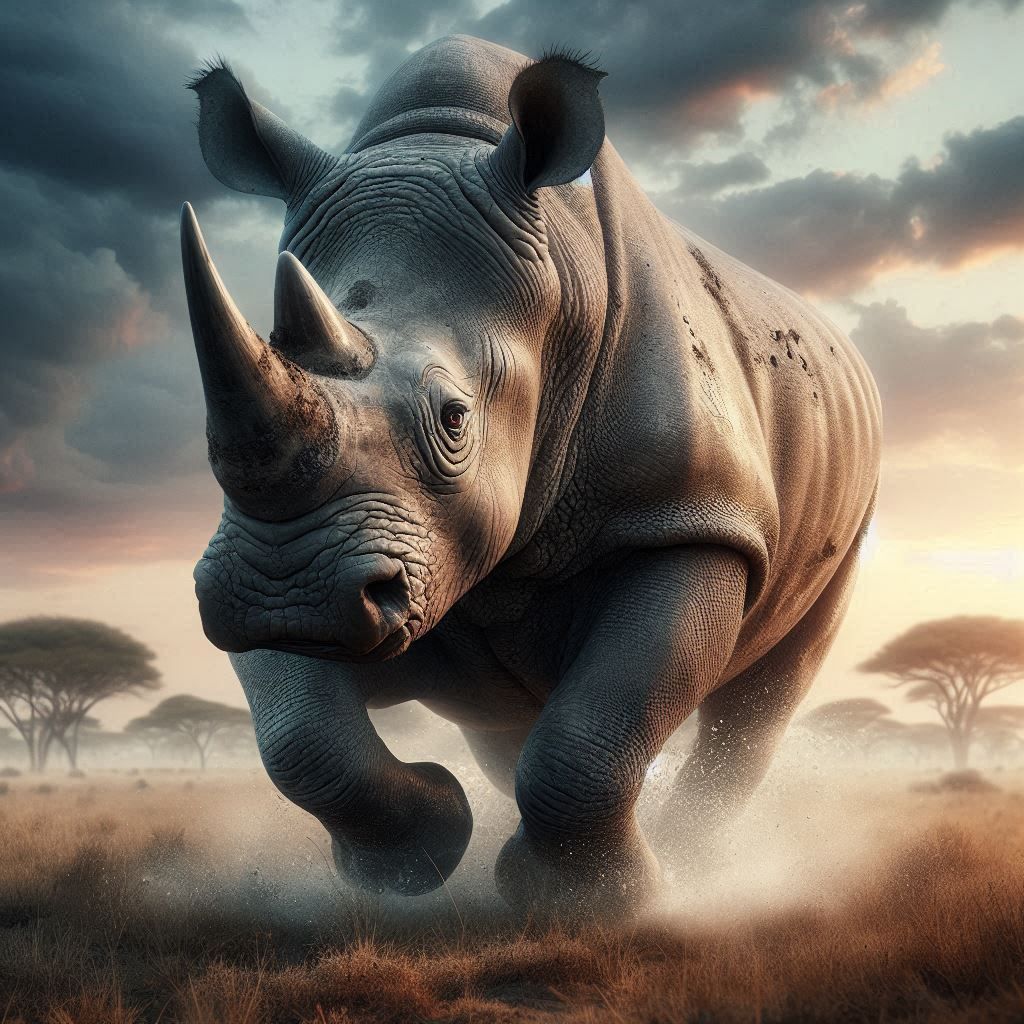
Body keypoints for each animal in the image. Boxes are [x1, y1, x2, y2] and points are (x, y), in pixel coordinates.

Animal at [181, 35, 881, 915]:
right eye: (209, 432)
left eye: (454, 418)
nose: (290, 595)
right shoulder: (255, 549)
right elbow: (299, 736)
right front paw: (423, 853)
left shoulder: (688, 514)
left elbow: (596, 730)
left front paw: (590, 903)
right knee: (502, 719)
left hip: (849, 502)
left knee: (763, 695)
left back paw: (698, 863)